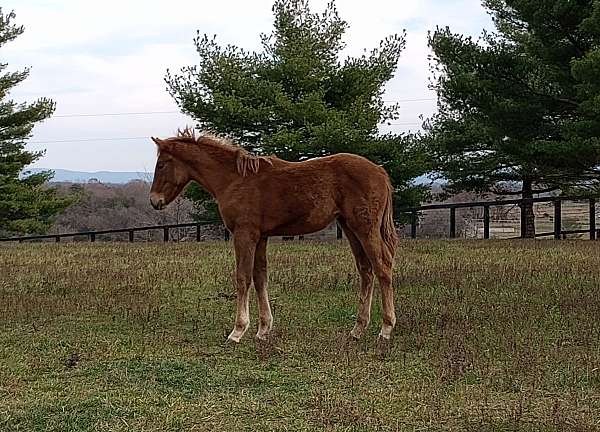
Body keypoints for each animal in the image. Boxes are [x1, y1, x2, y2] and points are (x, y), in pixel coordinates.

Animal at [150, 130, 398, 342]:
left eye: (161, 164)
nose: (154, 201)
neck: (234, 179)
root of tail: (379, 171)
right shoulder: (261, 237)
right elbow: (260, 277)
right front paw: (263, 329)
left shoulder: (244, 234)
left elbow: (243, 278)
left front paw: (238, 330)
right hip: (349, 228)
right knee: (366, 270)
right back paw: (358, 329)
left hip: (365, 228)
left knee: (382, 267)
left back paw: (386, 328)